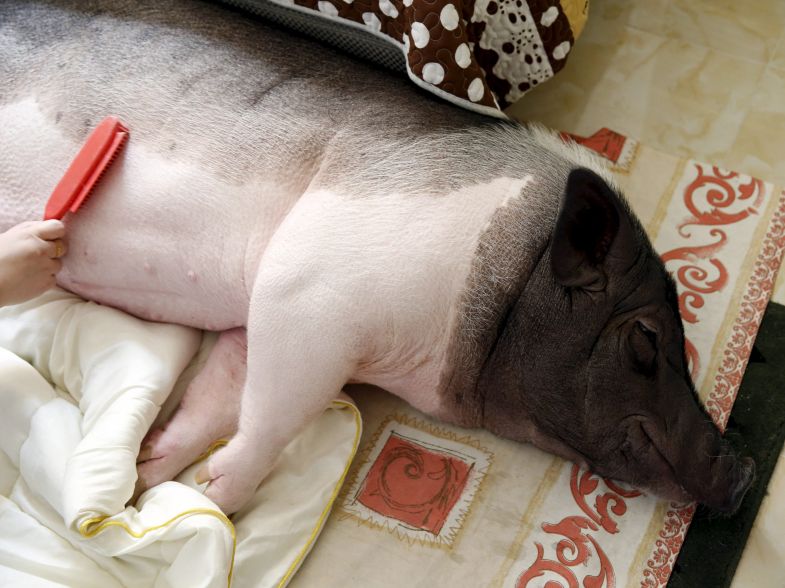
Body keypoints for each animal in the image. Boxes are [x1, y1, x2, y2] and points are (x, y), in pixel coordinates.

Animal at [0, 0, 753, 515]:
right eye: (647, 340)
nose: (745, 472)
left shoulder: (260, 315)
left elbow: (226, 390)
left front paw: (151, 479)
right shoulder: (310, 288)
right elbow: (279, 409)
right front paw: (216, 499)